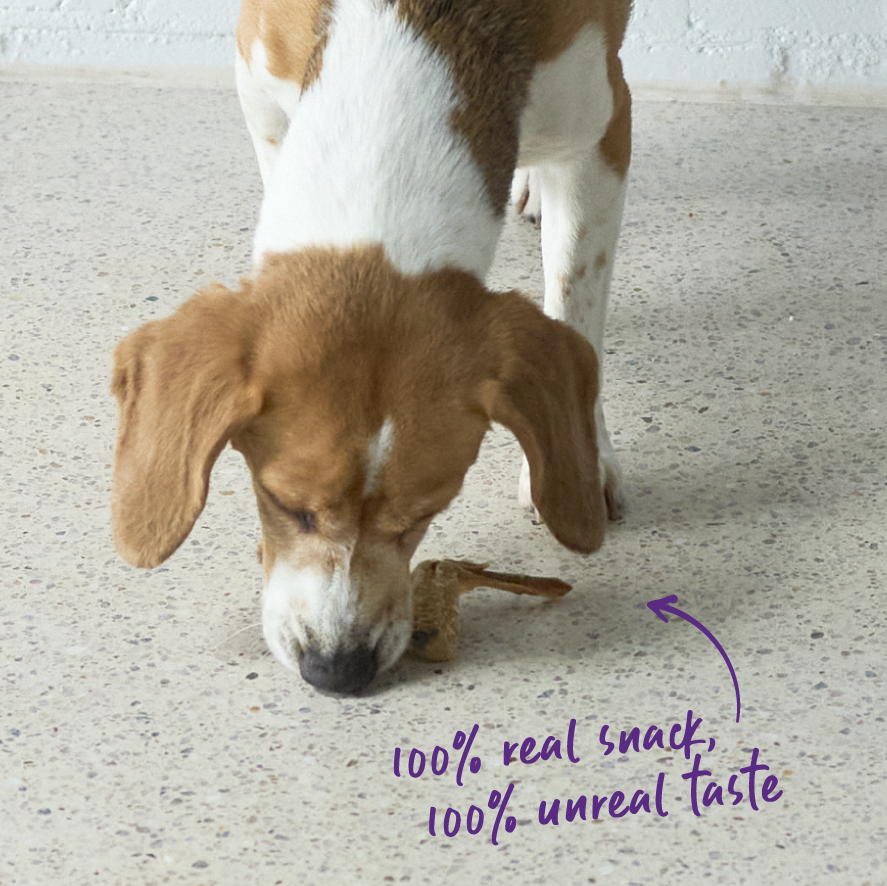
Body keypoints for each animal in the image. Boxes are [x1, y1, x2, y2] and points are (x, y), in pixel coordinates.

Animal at [111, 0, 632, 694]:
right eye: (285, 504)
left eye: (425, 513)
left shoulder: (601, 132)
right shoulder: (259, 86)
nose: (339, 670)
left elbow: (577, 299)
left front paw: (589, 457)